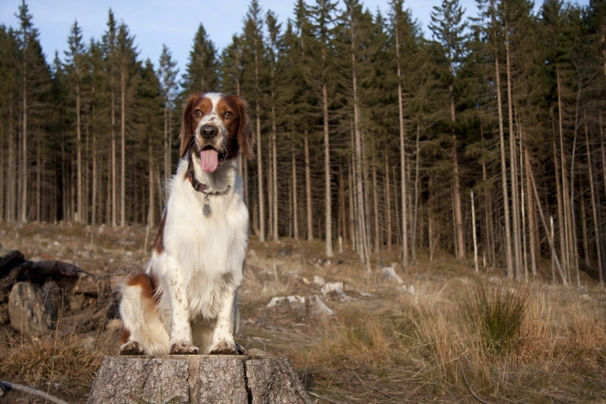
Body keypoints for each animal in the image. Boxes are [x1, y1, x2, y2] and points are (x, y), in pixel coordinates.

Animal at [119, 93, 254, 356]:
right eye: (197, 112)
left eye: (228, 114)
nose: (208, 131)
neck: (211, 193)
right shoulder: (174, 261)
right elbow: (181, 305)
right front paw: (181, 342)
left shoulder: (232, 260)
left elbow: (225, 306)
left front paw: (224, 343)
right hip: (135, 284)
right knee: (134, 332)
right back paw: (134, 345)